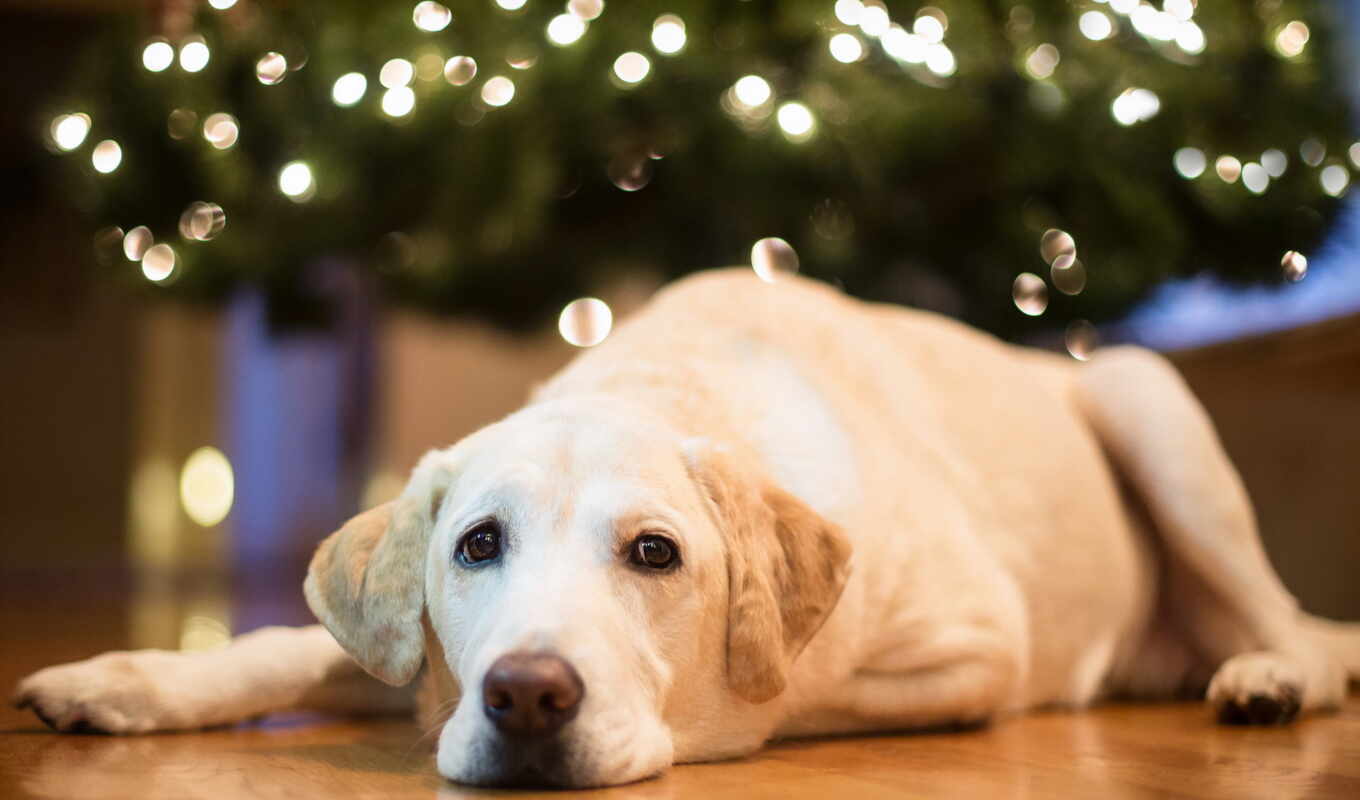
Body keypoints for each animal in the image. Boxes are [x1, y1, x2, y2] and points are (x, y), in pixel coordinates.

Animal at [13, 270, 1360, 789]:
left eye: (655, 553)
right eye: (476, 544)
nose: (526, 696)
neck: (671, 384)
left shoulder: (976, 646)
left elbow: (781, 693)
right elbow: (284, 648)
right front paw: (123, 679)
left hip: (1150, 401)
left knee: (1296, 629)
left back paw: (1269, 673)